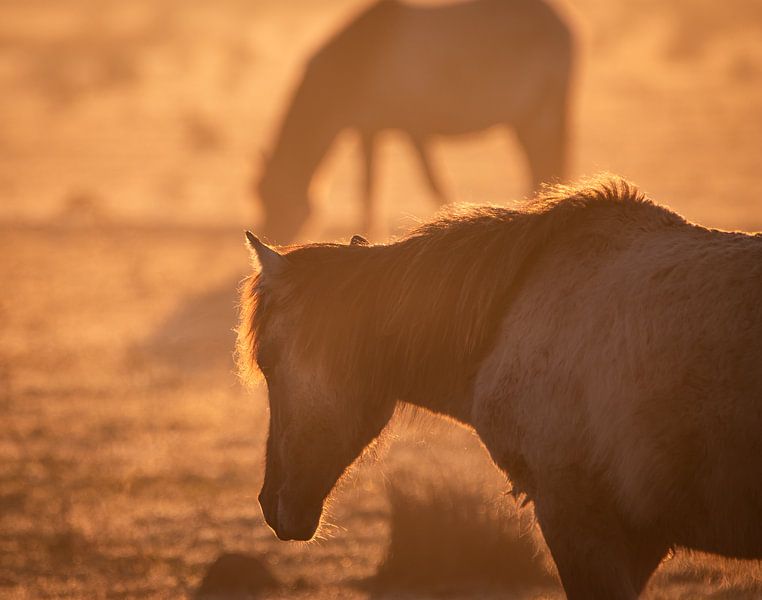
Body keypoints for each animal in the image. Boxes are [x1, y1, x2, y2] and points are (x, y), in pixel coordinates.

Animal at [257, 0, 574, 242]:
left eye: (277, 202)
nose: (274, 239)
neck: (362, 60)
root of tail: (563, 26)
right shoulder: (370, 130)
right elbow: (369, 188)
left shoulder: (413, 129)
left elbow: (430, 183)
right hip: (526, 121)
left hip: (544, 115)